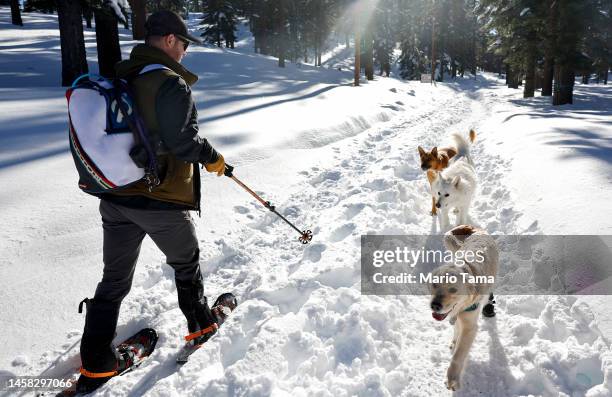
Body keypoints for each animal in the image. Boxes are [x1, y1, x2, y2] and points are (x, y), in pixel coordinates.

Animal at [430, 224, 498, 392]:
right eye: (434, 284)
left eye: (453, 289)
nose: (435, 305)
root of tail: (478, 230)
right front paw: (455, 341)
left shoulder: (470, 325)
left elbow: (458, 355)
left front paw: (452, 378)